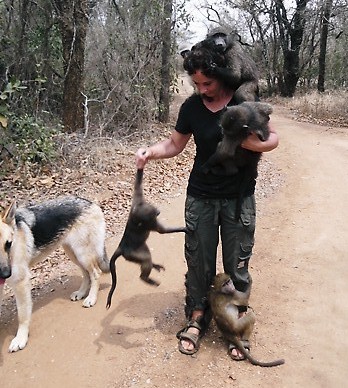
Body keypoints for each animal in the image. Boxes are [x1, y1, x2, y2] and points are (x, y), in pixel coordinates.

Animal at [0, 197, 109, 352]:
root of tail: (90, 202)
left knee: (95, 273)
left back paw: (91, 298)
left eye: (8, 244)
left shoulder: (20, 282)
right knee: (86, 273)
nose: (6, 274)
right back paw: (81, 293)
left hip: (82, 253)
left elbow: (22, 316)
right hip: (72, 253)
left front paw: (20, 338)